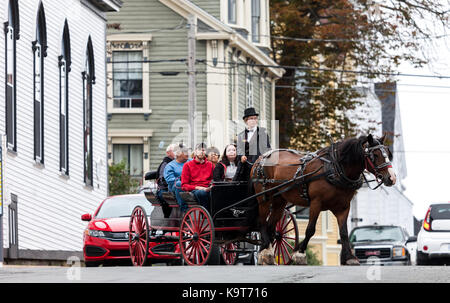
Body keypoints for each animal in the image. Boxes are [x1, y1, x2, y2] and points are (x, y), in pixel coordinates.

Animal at [251, 135, 396, 266]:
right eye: (375, 155)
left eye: (388, 153)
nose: (392, 178)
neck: (336, 169)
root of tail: (260, 159)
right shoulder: (316, 202)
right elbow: (310, 229)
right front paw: (299, 254)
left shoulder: (343, 207)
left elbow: (344, 232)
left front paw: (349, 258)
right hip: (264, 198)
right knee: (262, 222)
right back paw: (266, 251)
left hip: (279, 201)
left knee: (271, 226)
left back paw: (267, 252)